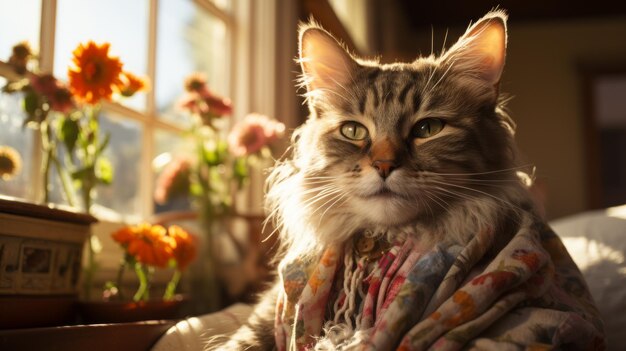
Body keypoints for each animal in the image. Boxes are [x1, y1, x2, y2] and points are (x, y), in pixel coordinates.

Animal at [212, 9, 604, 350]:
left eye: (427, 129)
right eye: (353, 131)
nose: (384, 165)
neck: (381, 242)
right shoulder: (269, 309)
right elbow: (241, 340)